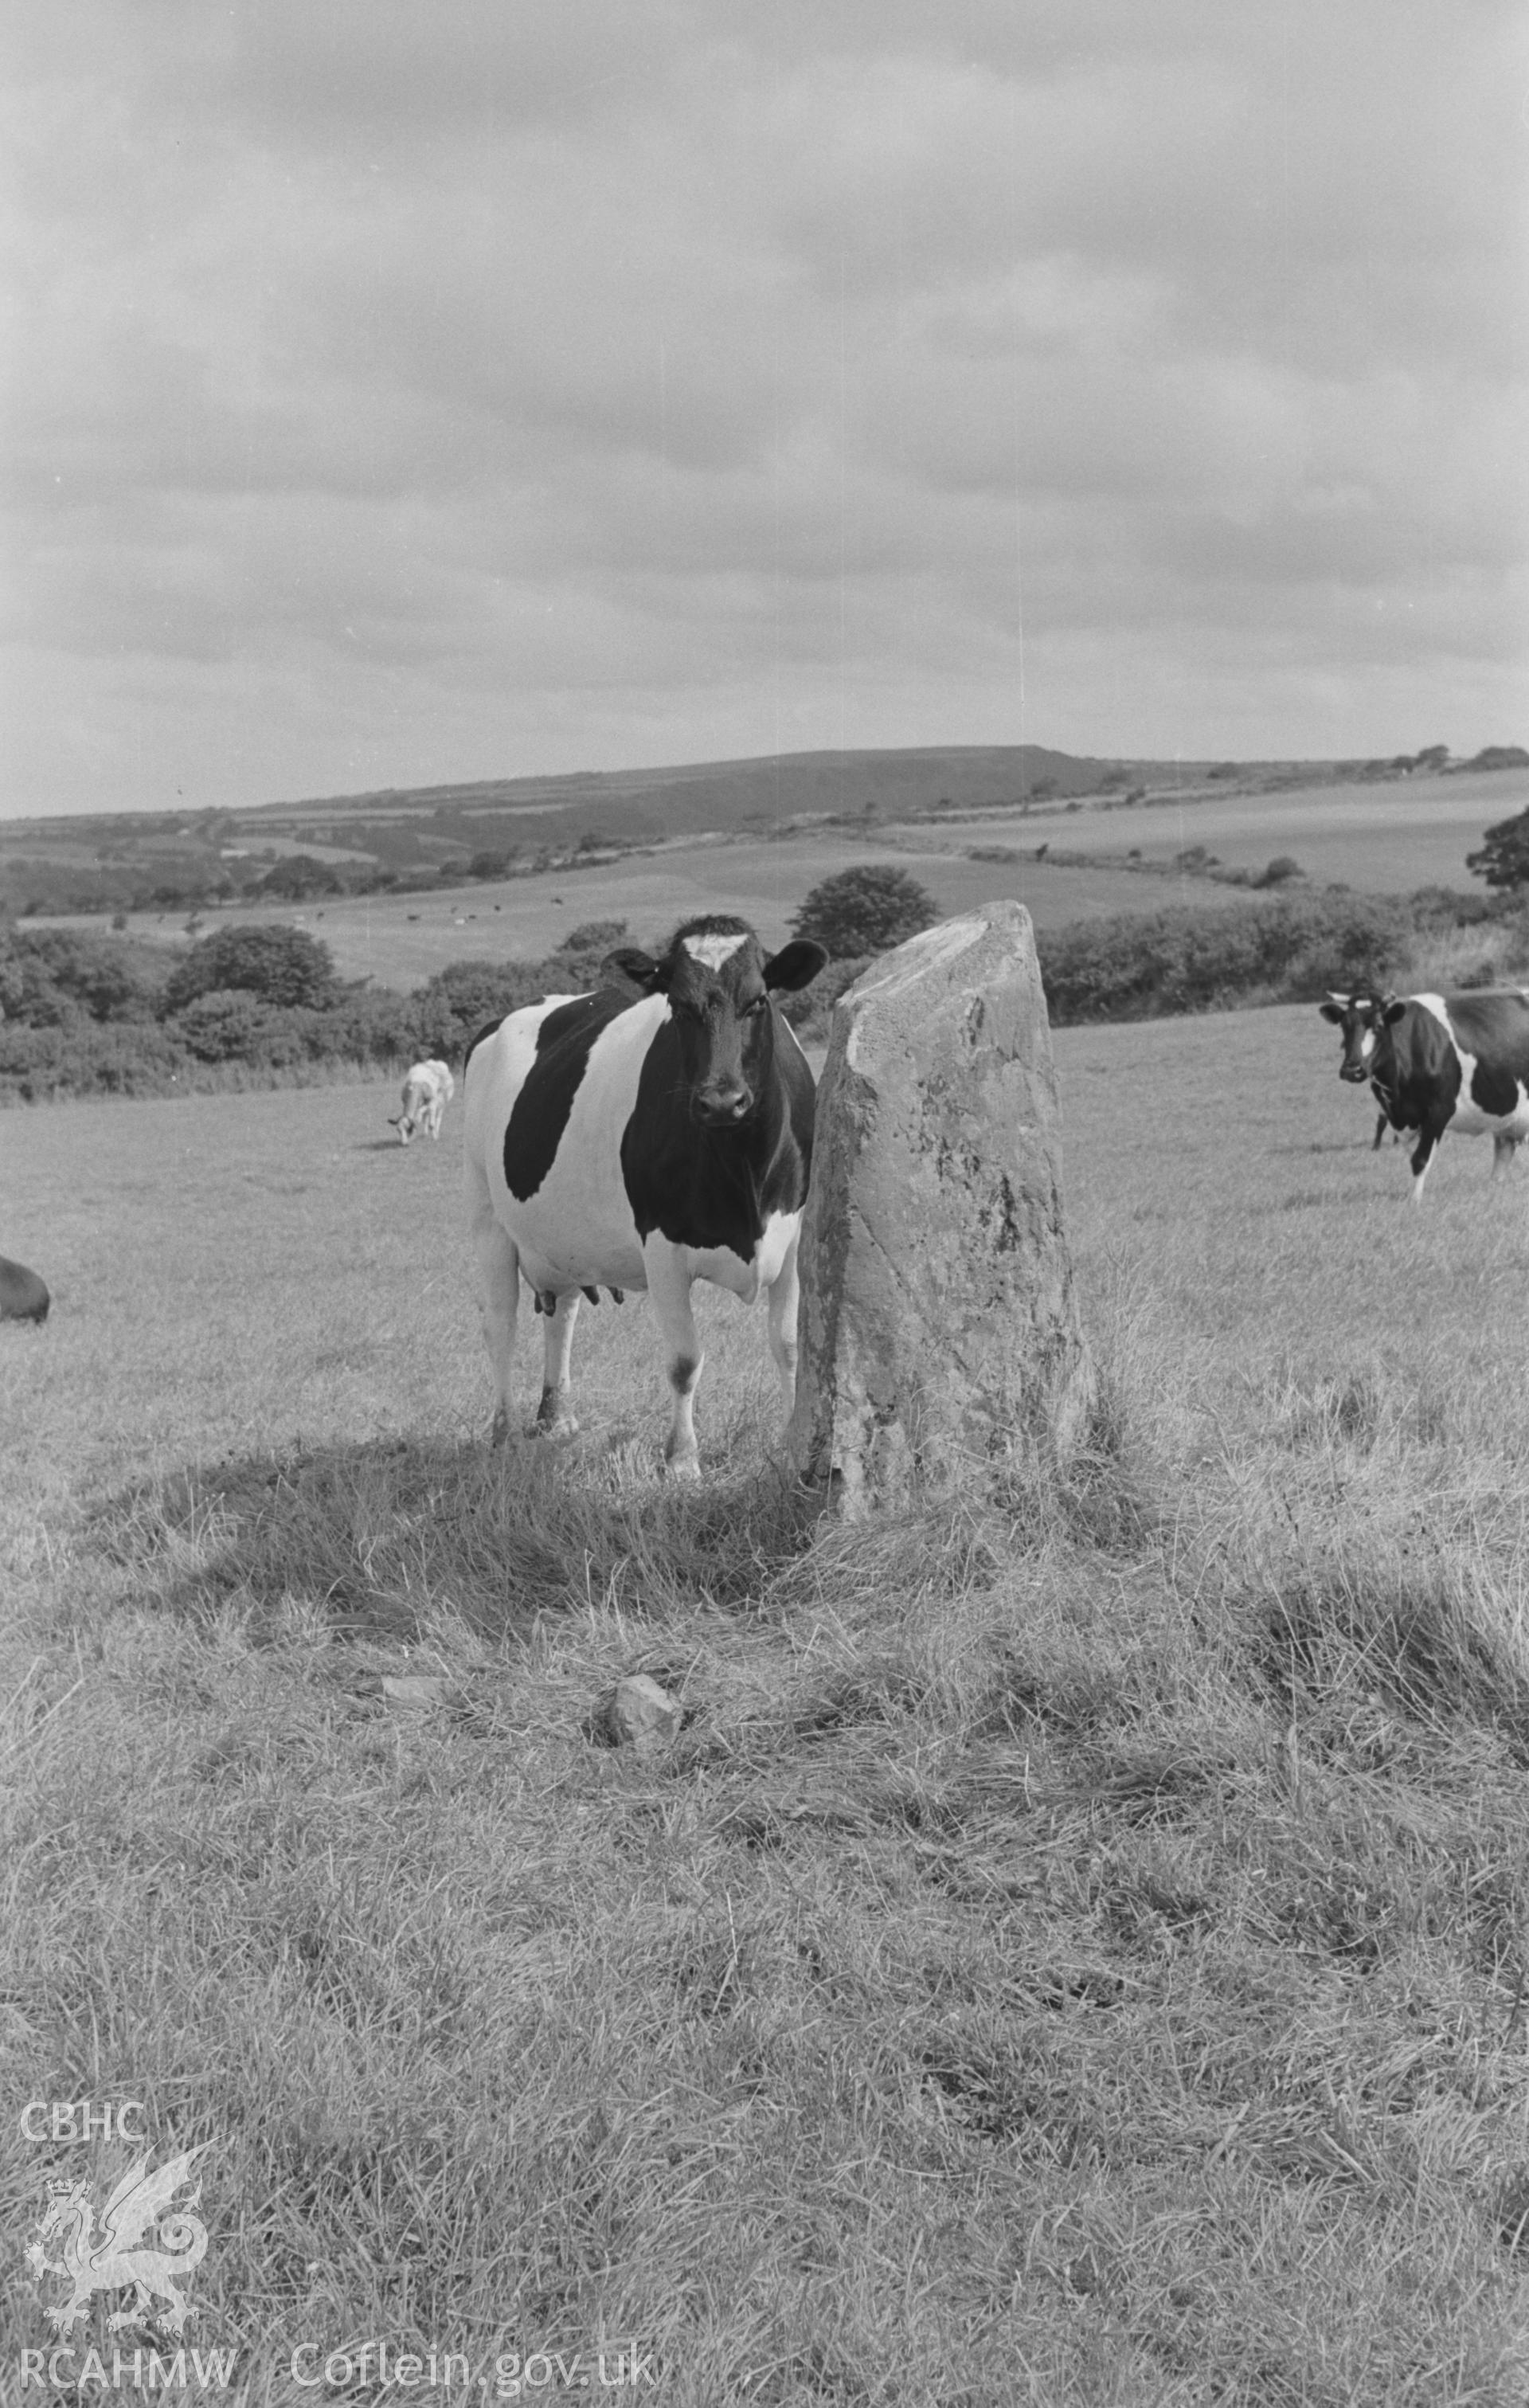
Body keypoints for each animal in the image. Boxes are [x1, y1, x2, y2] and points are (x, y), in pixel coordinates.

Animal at [464, 910, 833, 1474]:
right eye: (678, 1006)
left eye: (758, 1001)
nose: (722, 1101)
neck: (742, 1172)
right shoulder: (661, 1245)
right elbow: (684, 1361)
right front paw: (681, 1459)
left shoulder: (792, 1238)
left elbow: (790, 1345)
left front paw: (793, 1444)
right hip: (488, 1217)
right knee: (500, 1325)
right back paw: (504, 1433)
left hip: (560, 1236)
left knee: (562, 1313)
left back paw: (557, 1417)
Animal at [1319, 982, 1529, 1199]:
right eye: (1344, 1026)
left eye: (1378, 1025)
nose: (1352, 1070)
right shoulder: (1396, 1116)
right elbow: (1412, 1154)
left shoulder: (1439, 1110)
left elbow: (1420, 1159)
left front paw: (1415, 1201)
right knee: (1504, 1151)